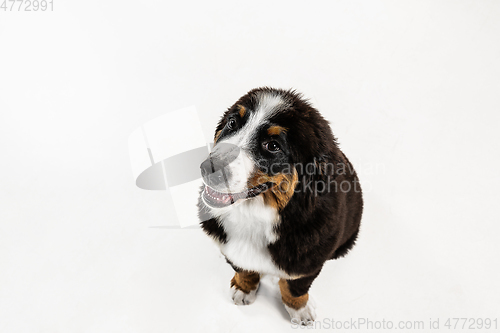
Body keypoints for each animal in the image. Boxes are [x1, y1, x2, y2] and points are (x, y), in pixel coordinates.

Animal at [198, 87, 364, 322]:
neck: (254, 214)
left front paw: (300, 310)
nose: (208, 168)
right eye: (232, 123)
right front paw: (243, 288)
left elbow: (295, 286)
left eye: (273, 146)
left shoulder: (308, 261)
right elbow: (243, 269)